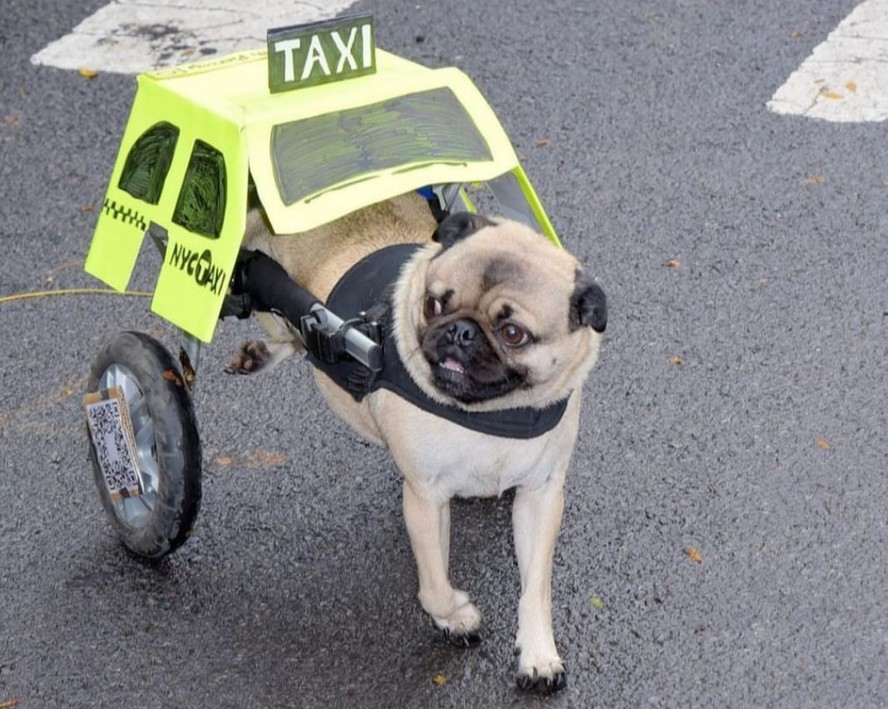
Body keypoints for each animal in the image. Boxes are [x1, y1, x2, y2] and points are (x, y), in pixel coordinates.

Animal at [236, 192, 608, 692]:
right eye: (434, 304)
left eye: (513, 334)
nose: (460, 330)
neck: (488, 413)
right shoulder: (426, 498)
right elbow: (433, 587)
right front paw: (457, 615)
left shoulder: (540, 495)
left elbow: (535, 588)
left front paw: (538, 654)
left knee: (294, 332)